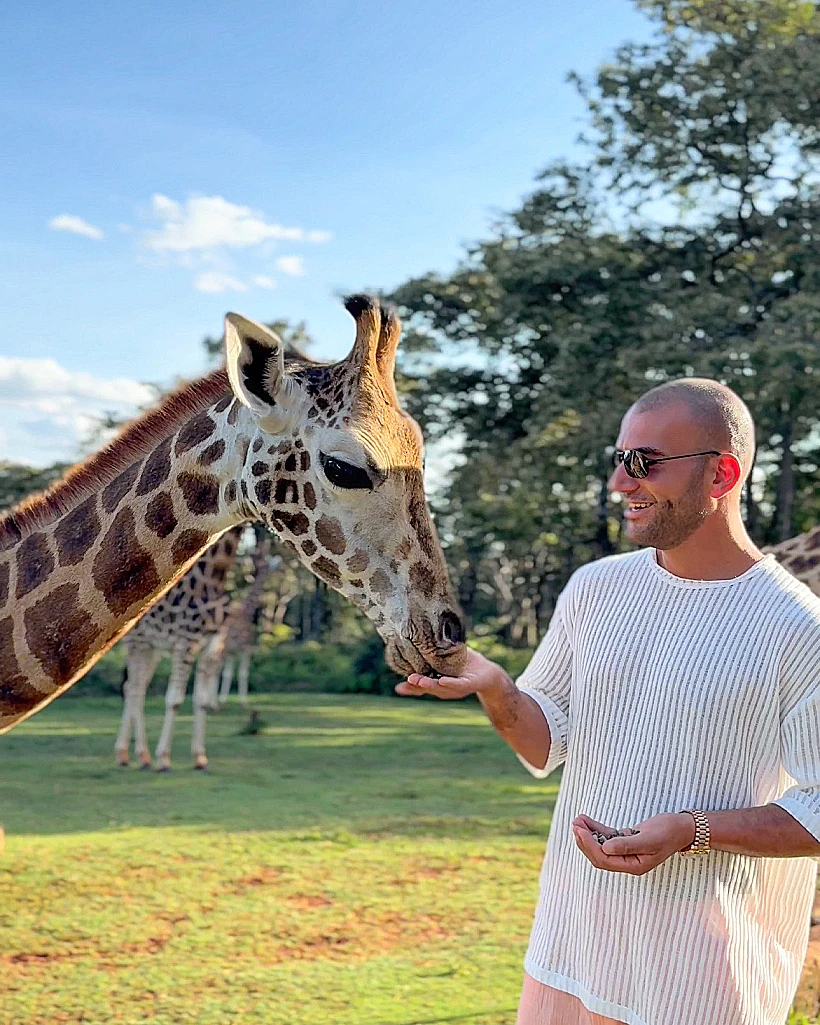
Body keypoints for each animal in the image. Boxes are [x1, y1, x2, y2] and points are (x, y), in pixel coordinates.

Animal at [114, 525, 244, 771]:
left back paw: (128, 754)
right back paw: (141, 754)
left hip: (152, 648)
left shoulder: (211, 646)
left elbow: (202, 701)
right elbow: (174, 700)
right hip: (136, 642)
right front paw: (164, 758)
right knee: (134, 689)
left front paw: (200, 757)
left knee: (133, 687)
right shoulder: (186, 642)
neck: (216, 577)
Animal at [217, 530, 278, 708]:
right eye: (271, 564)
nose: (277, 564)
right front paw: (233, 702)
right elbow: (233, 672)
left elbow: (239, 672)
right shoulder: (240, 647)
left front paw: (239, 702)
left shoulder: (243, 648)